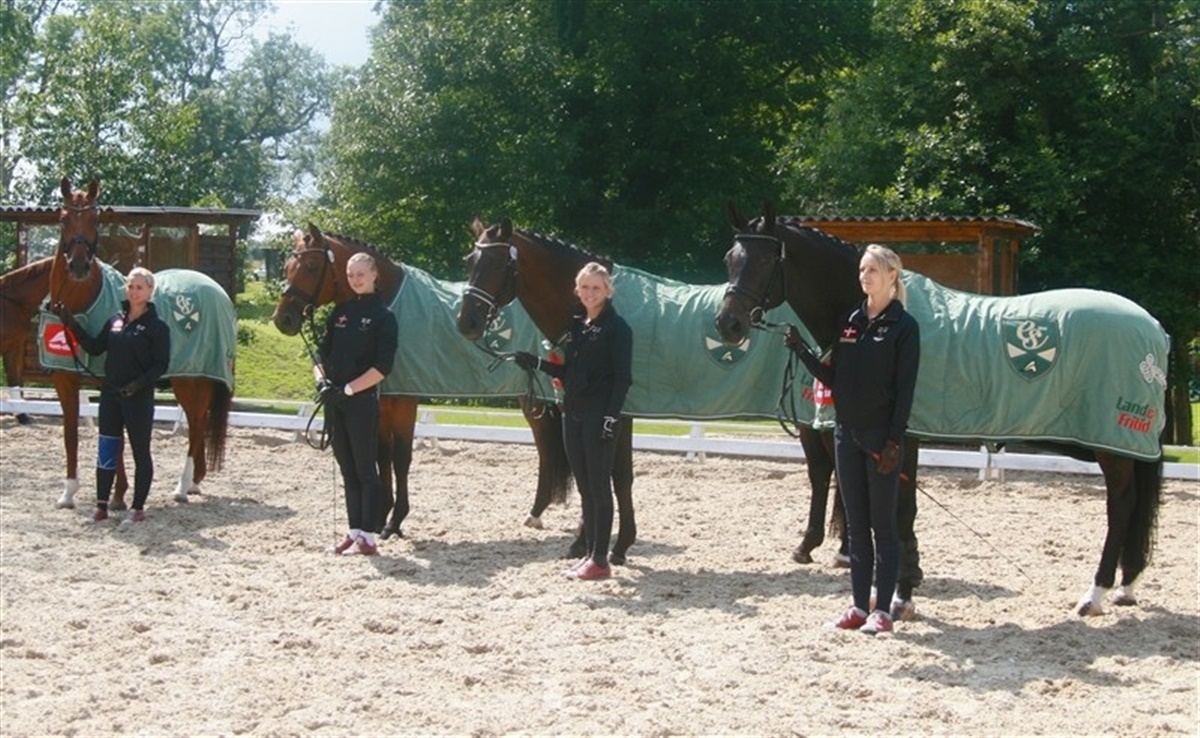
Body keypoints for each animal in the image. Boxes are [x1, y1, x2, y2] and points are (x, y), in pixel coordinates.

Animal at [50, 177, 233, 510]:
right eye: (63, 218)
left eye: (95, 218)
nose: (79, 266)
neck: (86, 300)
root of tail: (217, 290)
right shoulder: (65, 380)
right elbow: (71, 433)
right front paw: (68, 493)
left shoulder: (111, 382)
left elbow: (118, 438)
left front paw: (118, 495)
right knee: (198, 423)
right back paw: (195, 482)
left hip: (192, 379)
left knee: (197, 423)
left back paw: (182, 487)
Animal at [271, 223, 572, 541]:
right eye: (287, 267)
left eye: (312, 266)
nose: (283, 318)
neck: (387, 303)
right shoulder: (383, 401)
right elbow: (383, 457)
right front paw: (380, 518)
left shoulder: (404, 399)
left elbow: (401, 458)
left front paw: (395, 521)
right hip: (533, 398)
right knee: (545, 447)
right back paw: (536, 512)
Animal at [715, 202, 1166, 617]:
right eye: (730, 259)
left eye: (764, 260)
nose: (728, 325)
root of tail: (1152, 327)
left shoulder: (901, 439)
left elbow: (902, 513)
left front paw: (901, 595)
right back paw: (1126, 587)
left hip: (1114, 443)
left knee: (1121, 505)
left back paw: (1095, 593)